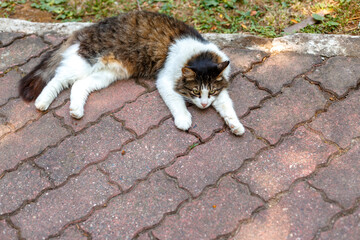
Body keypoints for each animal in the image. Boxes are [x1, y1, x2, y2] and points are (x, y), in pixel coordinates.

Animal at [19, 10, 245, 135]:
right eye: (195, 92)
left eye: (211, 92)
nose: (205, 105)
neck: (197, 54)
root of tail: (87, 28)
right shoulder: (165, 80)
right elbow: (177, 102)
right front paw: (183, 119)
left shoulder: (220, 90)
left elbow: (227, 107)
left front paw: (236, 125)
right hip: (85, 62)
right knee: (58, 79)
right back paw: (42, 102)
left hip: (107, 74)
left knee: (79, 85)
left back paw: (76, 110)